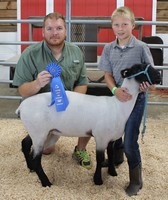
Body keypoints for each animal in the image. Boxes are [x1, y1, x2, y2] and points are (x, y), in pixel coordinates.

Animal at [16, 64, 161, 188]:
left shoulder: (111, 139)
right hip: (39, 133)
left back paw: (30, 168)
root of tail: (21, 108)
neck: (118, 106)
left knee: (25, 143)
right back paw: (46, 182)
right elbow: (100, 158)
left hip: (42, 132)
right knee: (36, 158)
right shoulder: (101, 137)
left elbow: (111, 154)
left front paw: (112, 172)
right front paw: (98, 180)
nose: (159, 76)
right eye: (139, 68)